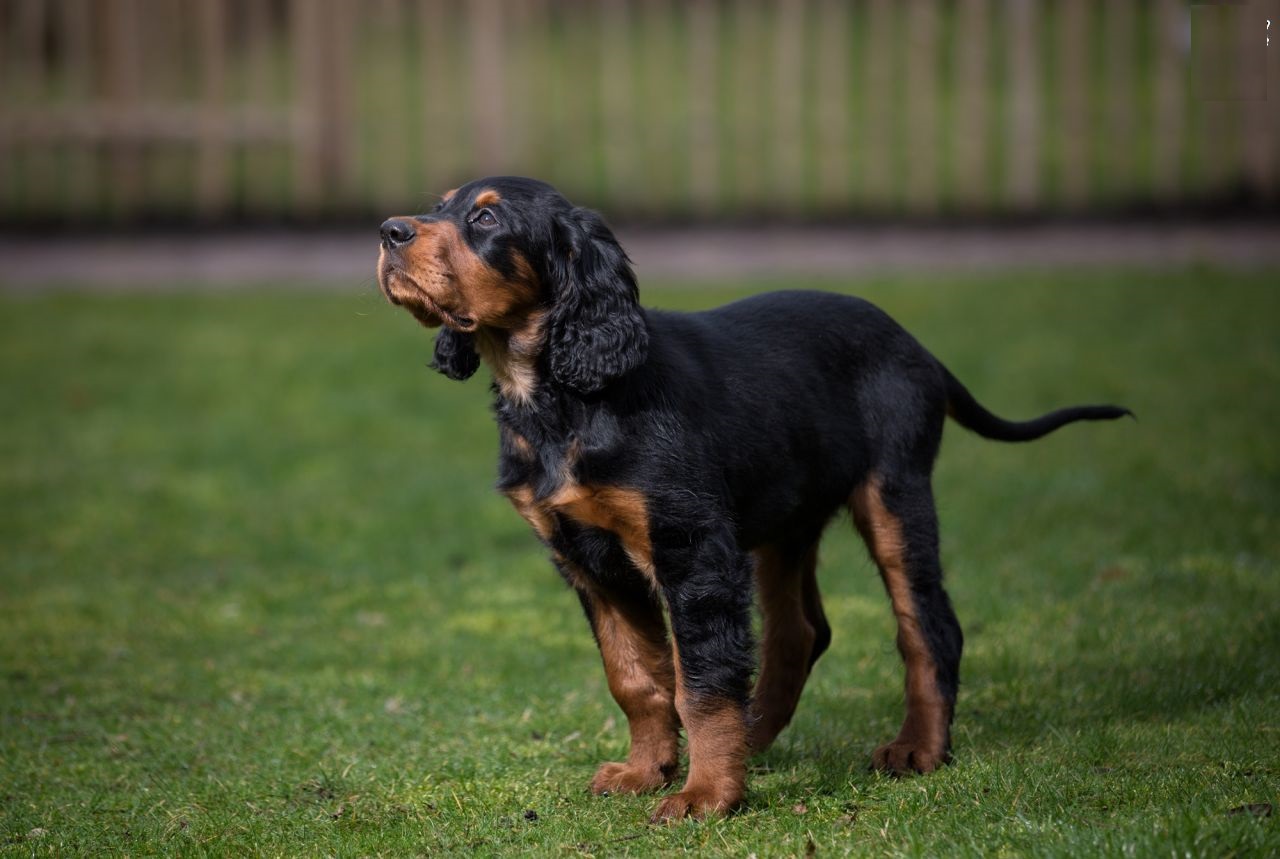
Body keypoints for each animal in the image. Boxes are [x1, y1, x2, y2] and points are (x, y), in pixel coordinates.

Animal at [373, 176, 1131, 824]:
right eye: (439, 205)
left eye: (487, 219)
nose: (388, 230)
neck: (562, 395)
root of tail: (916, 345)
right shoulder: (588, 560)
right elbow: (637, 676)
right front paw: (648, 771)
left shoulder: (693, 549)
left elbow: (702, 681)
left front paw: (705, 794)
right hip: (782, 521)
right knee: (800, 631)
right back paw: (758, 733)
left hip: (894, 493)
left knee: (927, 625)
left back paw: (917, 747)